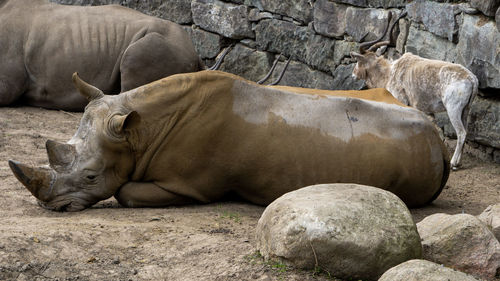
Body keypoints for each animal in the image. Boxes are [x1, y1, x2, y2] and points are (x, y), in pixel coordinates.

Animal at [350, 10, 478, 170]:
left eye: (358, 60)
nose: (353, 74)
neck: (390, 72)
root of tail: (471, 79)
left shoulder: (400, 101)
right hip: (465, 110)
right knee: (465, 131)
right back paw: (459, 162)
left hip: (453, 109)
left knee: (461, 133)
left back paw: (454, 163)